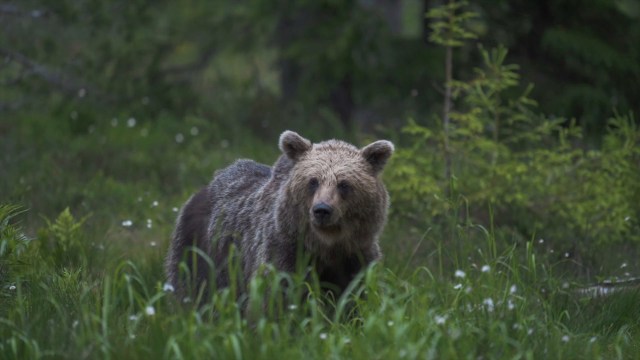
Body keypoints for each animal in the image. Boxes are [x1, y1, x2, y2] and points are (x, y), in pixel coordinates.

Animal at [164, 131, 396, 302]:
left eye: (344, 184)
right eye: (313, 181)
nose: (322, 209)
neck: (325, 245)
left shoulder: (356, 255)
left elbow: (356, 298)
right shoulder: (284, 250)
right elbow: (277, 299)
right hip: (200, 249)